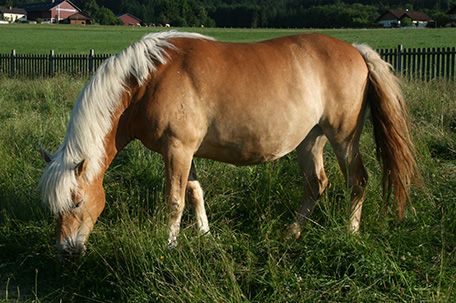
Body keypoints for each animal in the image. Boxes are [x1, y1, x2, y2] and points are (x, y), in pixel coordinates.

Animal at [39, 31, 416, 256]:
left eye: (76, 202)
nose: (66, 250)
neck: (148, 79)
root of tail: (357, 51)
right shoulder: (184, 151)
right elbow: (195, 192)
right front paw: (205, 235)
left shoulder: (177, 149)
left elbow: (174, 200)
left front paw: (168, 245)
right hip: (310, 141)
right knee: (316, 184)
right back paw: (292, 233)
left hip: (343, 137)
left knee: (358, 179)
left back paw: (351, 233)